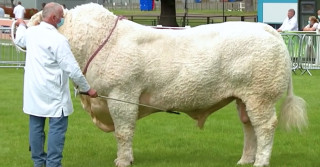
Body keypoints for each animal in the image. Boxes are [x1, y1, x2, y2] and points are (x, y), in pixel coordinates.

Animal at [27, 3, 308, 167]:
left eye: (34, 22)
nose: (21, 32)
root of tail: (265, 29)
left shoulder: (122, 95)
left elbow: (123, 132)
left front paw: (123, 160)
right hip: (244, 97)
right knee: (249, 127)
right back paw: (246, 160)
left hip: (261, 95)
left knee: (265, 127)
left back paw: (260, 161)